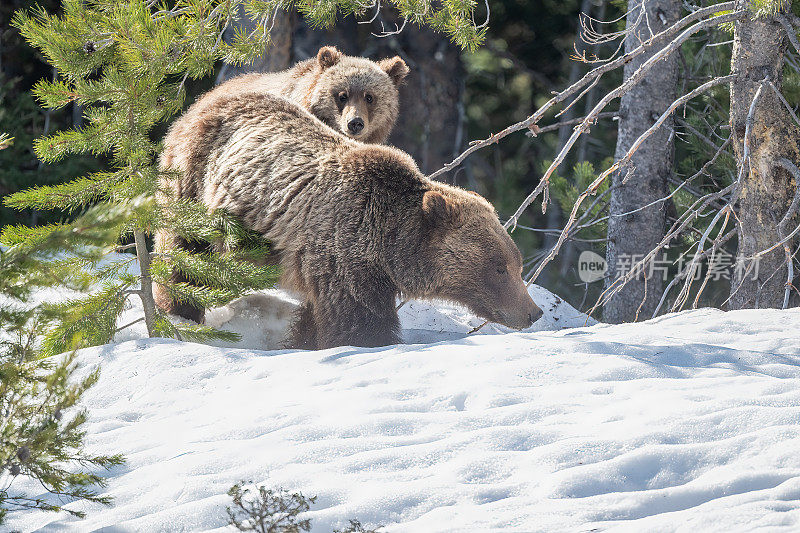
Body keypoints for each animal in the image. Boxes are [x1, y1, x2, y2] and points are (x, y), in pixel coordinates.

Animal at [153, 93, 544, 348]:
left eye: (518, 264)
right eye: (499, 268)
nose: (533, 312)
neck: (389, 246)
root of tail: (202, 103)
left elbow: (317, 317)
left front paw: (301, 342)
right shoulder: (345, 255)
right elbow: (358, 324)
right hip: (193, 184)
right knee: (184, 252)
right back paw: (180, 308)